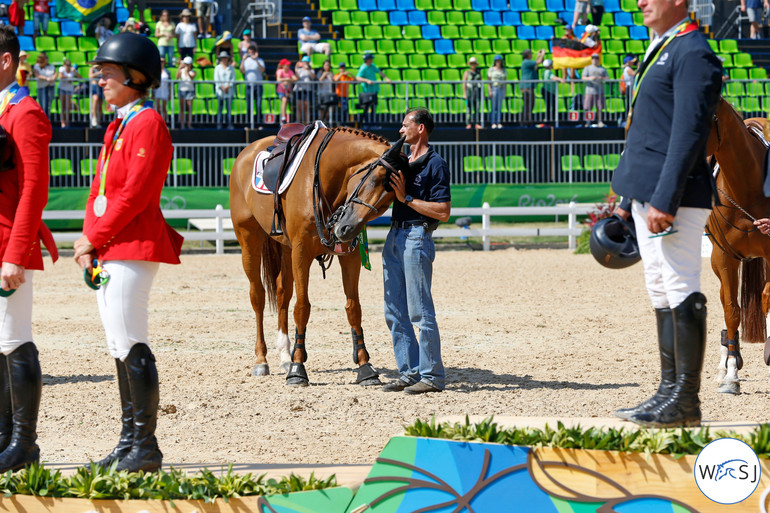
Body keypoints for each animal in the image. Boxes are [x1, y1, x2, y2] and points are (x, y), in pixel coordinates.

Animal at [230, 126, 404, 386]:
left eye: (391, 198)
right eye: (373, 180)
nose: (346, 229)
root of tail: (246, 152)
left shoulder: (349, 255)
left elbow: (354, 308)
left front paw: (365, 366)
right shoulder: (302, 252)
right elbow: (302, 307)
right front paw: (298, 369)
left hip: (286, 249)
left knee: (282, 294)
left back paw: (284, 355)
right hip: (249, 239)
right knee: (258, 296)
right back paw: (262, 360)